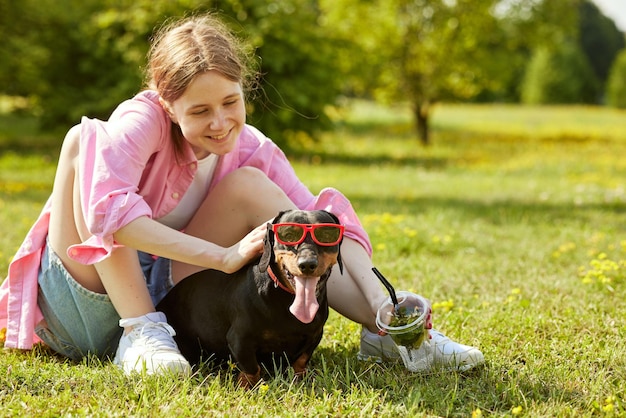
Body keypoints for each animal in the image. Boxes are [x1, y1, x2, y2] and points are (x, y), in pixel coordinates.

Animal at [155, 209, 342, 388]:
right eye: (288, 235)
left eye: (327, 236)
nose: (307, 264)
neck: (287, 300)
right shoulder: (240, 338)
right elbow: (252, 367)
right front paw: (247, 386)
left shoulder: (315, 334)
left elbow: (301, 359)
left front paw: (301, 377)